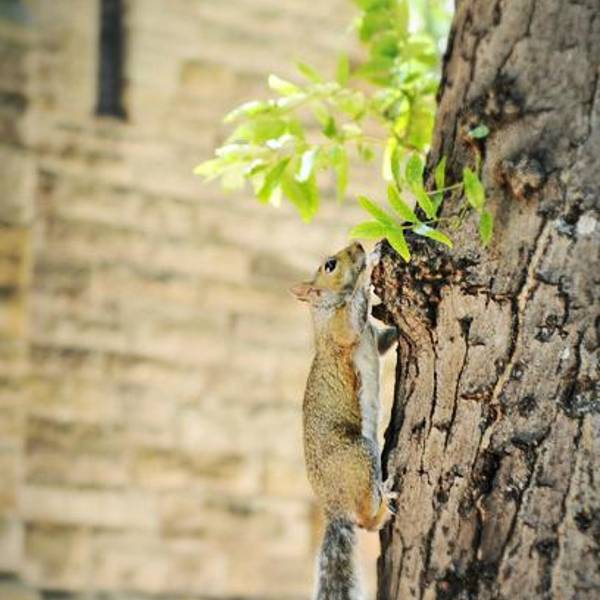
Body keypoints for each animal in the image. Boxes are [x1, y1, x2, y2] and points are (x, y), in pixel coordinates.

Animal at [291, 241, 397, 600]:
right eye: (330, 265)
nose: (360, 245)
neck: (324, 310)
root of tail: (333, 504)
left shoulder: (372, 338)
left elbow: (384, 342)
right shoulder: (342, 332)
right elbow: (353, 318)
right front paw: (369, 272)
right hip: (362, 454)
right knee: (365, 520)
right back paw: (383, 504)